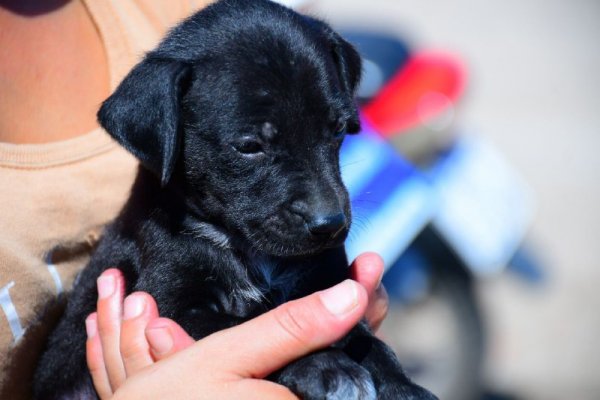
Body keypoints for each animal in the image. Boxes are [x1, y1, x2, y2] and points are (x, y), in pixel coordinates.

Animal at [32, 0, 436, 400]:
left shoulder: (330, 284)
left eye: (337, 130)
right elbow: (250, 324)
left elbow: (365, 337)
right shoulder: (172, 304)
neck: (251, 252)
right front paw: (326, 367)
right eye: (249, 146)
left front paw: (404, 386)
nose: (330, 224)